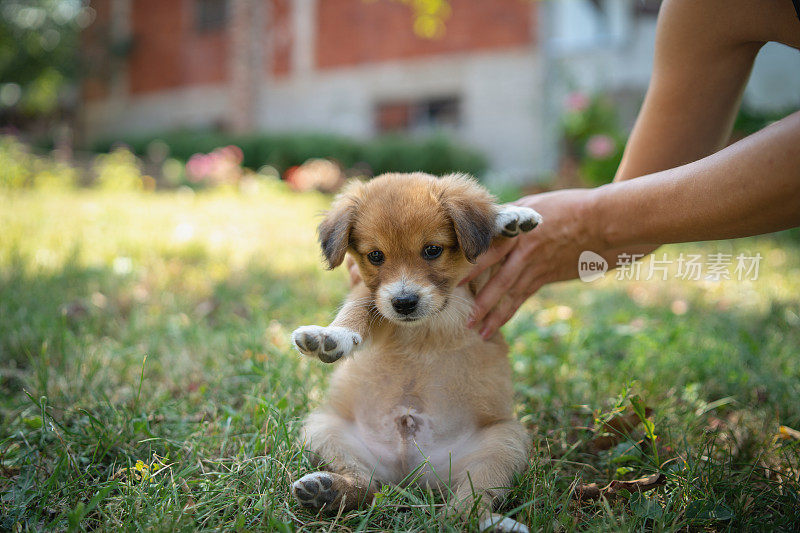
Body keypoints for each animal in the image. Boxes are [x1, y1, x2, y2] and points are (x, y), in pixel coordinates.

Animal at [290, 172, 540, 528]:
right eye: (375, 256)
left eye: (432, 250)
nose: (404, 303)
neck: (423, 327)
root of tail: (410, 474)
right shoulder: (372, 297)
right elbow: (354, 313)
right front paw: (331, 336)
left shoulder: (485, 285)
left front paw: (508, 217)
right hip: (324, 430)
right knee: (366, 485)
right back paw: (328, 491)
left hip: (504, 443)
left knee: (464, 507)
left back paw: (495, 525)